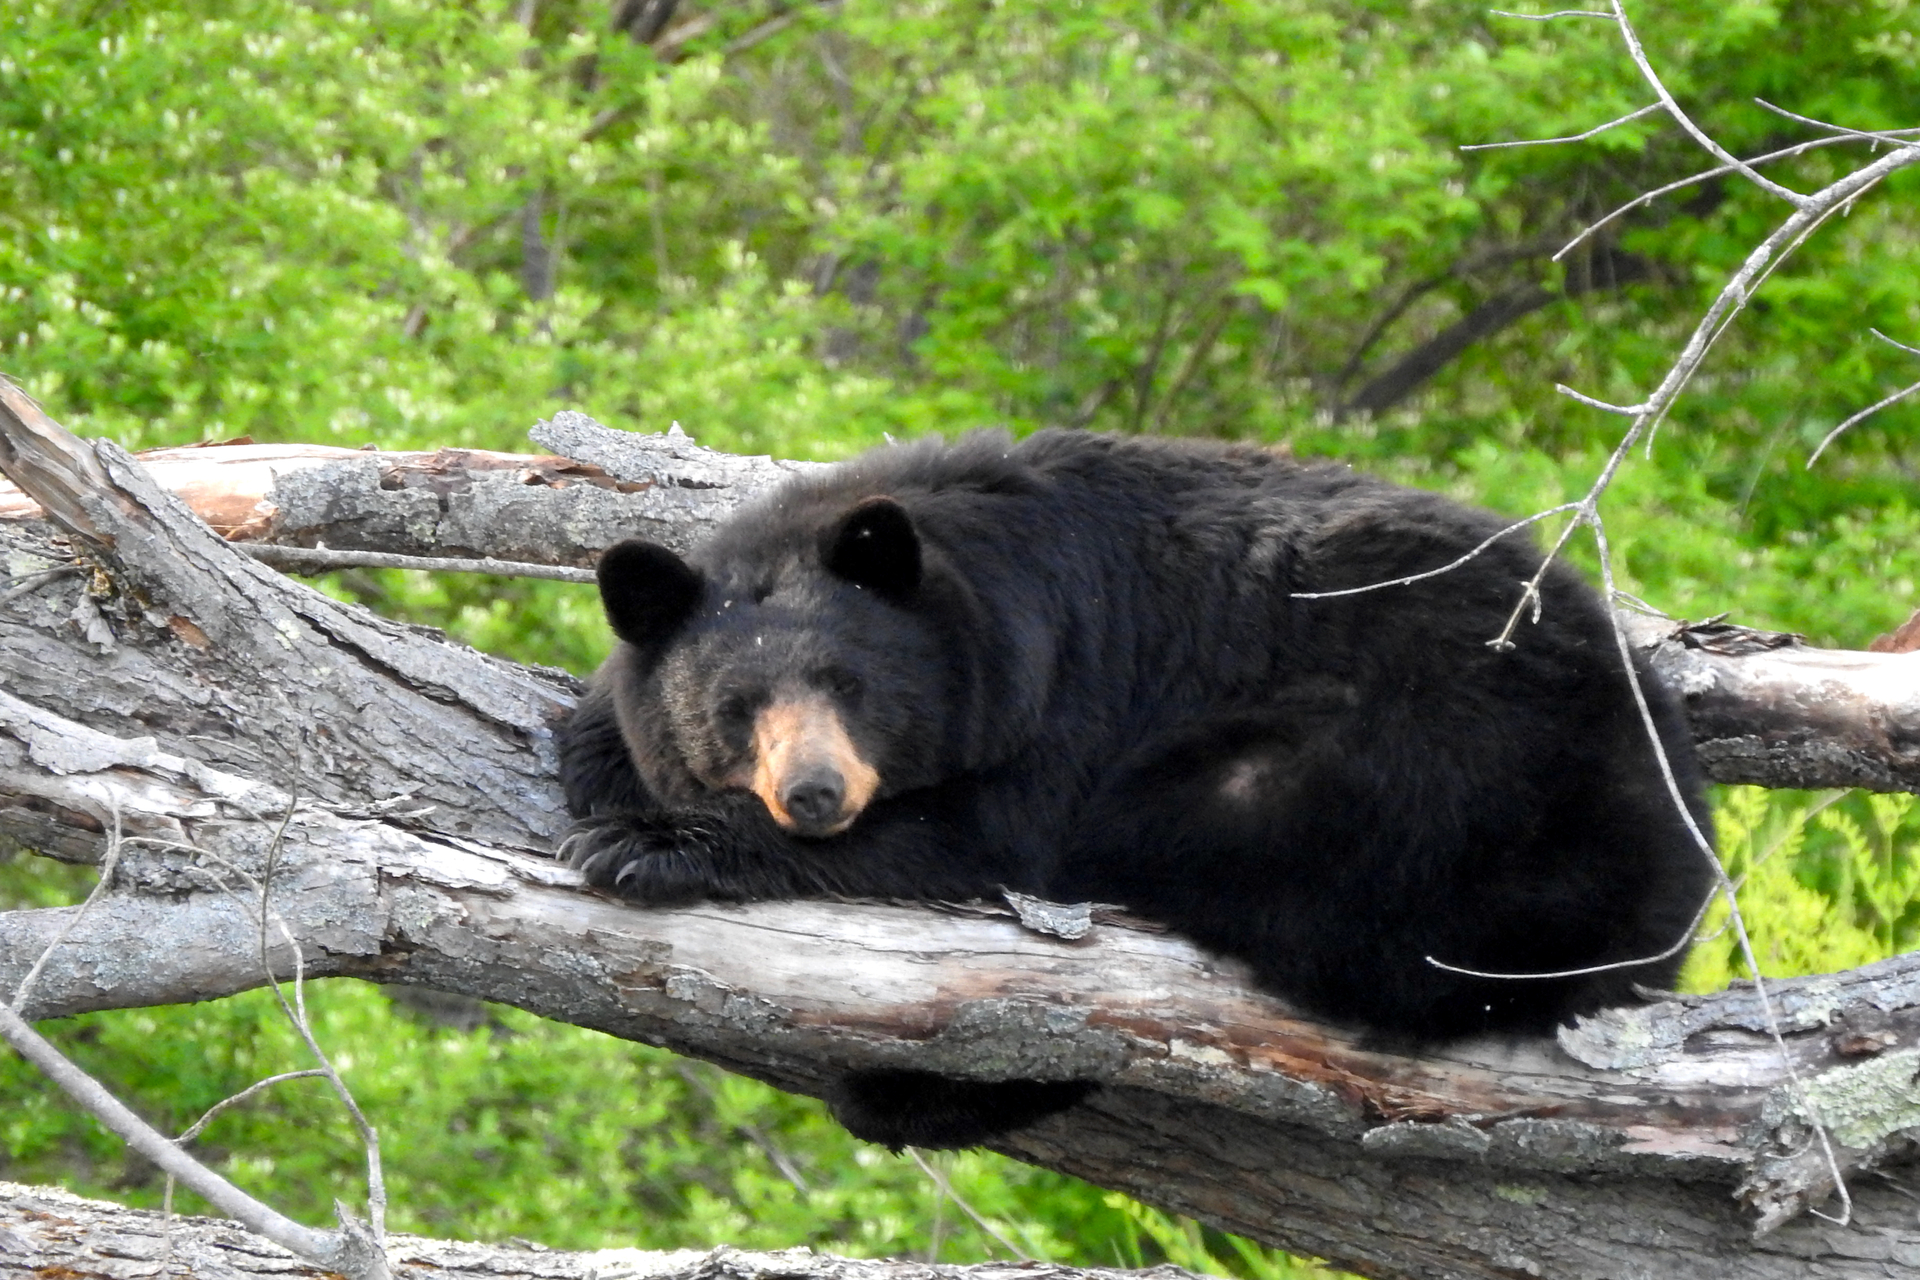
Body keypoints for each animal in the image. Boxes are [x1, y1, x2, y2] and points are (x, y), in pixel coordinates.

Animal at [556, 429, 1712, 1151]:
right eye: (738, 705)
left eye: (851, 684)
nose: (814, 793)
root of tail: (1679, 881)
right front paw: (597, 749)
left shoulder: (1062, 692)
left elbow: (979, 835)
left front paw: (650, 842)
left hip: (1413, 779)